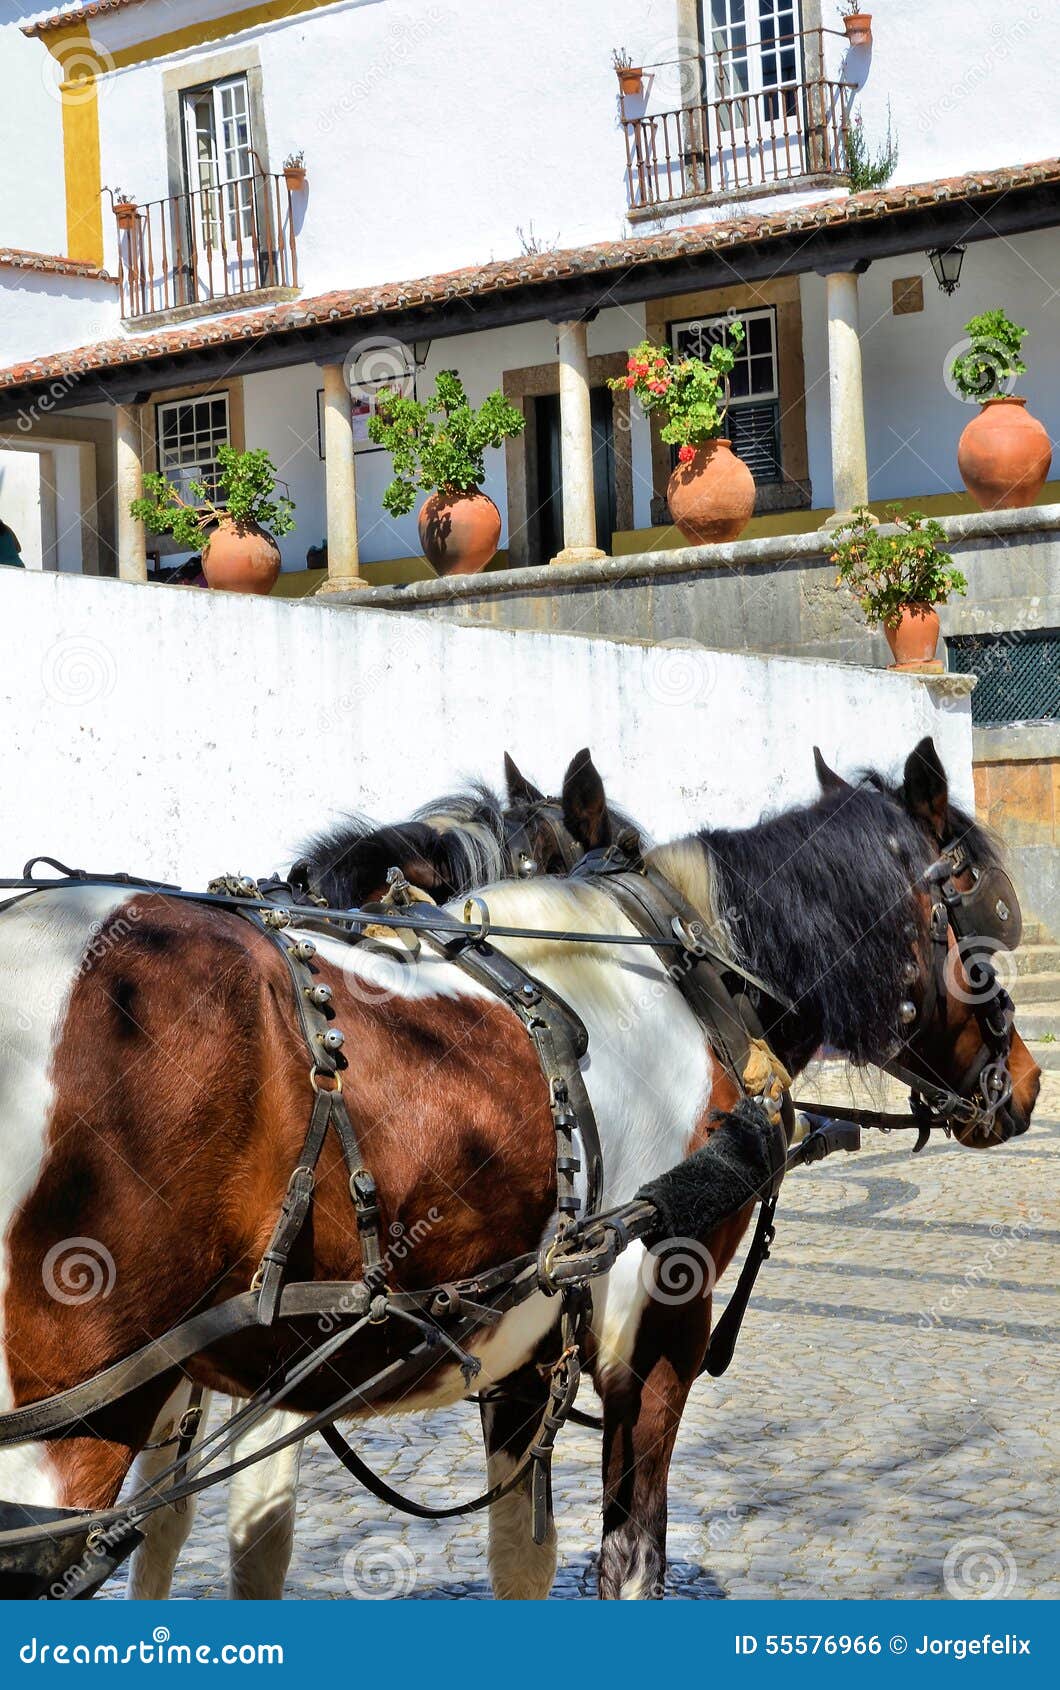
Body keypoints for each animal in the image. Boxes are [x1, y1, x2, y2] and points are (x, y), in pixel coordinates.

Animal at [0, 740, 1041, 1595]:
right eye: (986, 937)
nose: (1026, 1084)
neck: (676, 972)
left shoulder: (521, 1340)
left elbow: (513, 1559)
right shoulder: (655, 1330)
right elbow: (629, 1562)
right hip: (65, 1433)